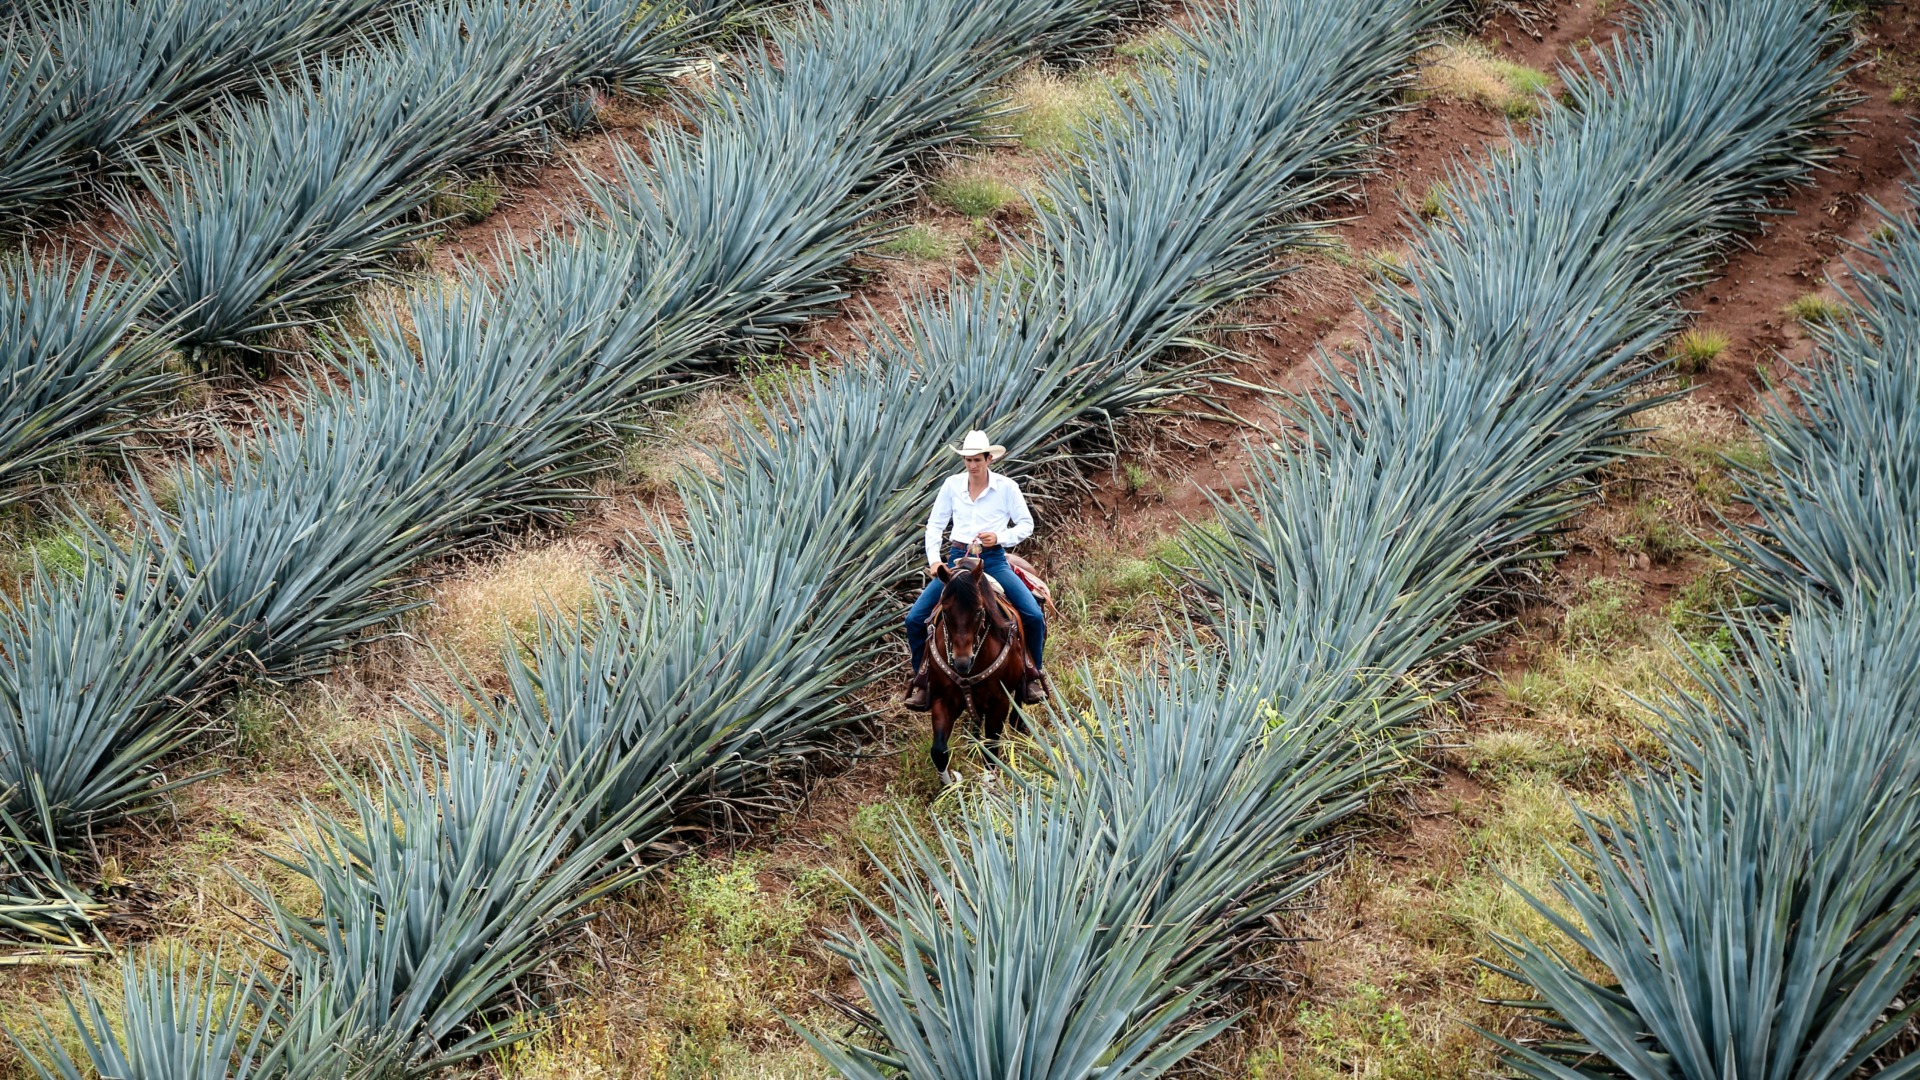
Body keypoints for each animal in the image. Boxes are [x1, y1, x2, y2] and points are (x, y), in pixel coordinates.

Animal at [921, 553, 1029, 780]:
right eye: (945, 611)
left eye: (979, 611)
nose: (962, 662)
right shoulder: (942, 699)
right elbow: (939, 751)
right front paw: (951, 784)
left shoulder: (999, 703)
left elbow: (991, 752)